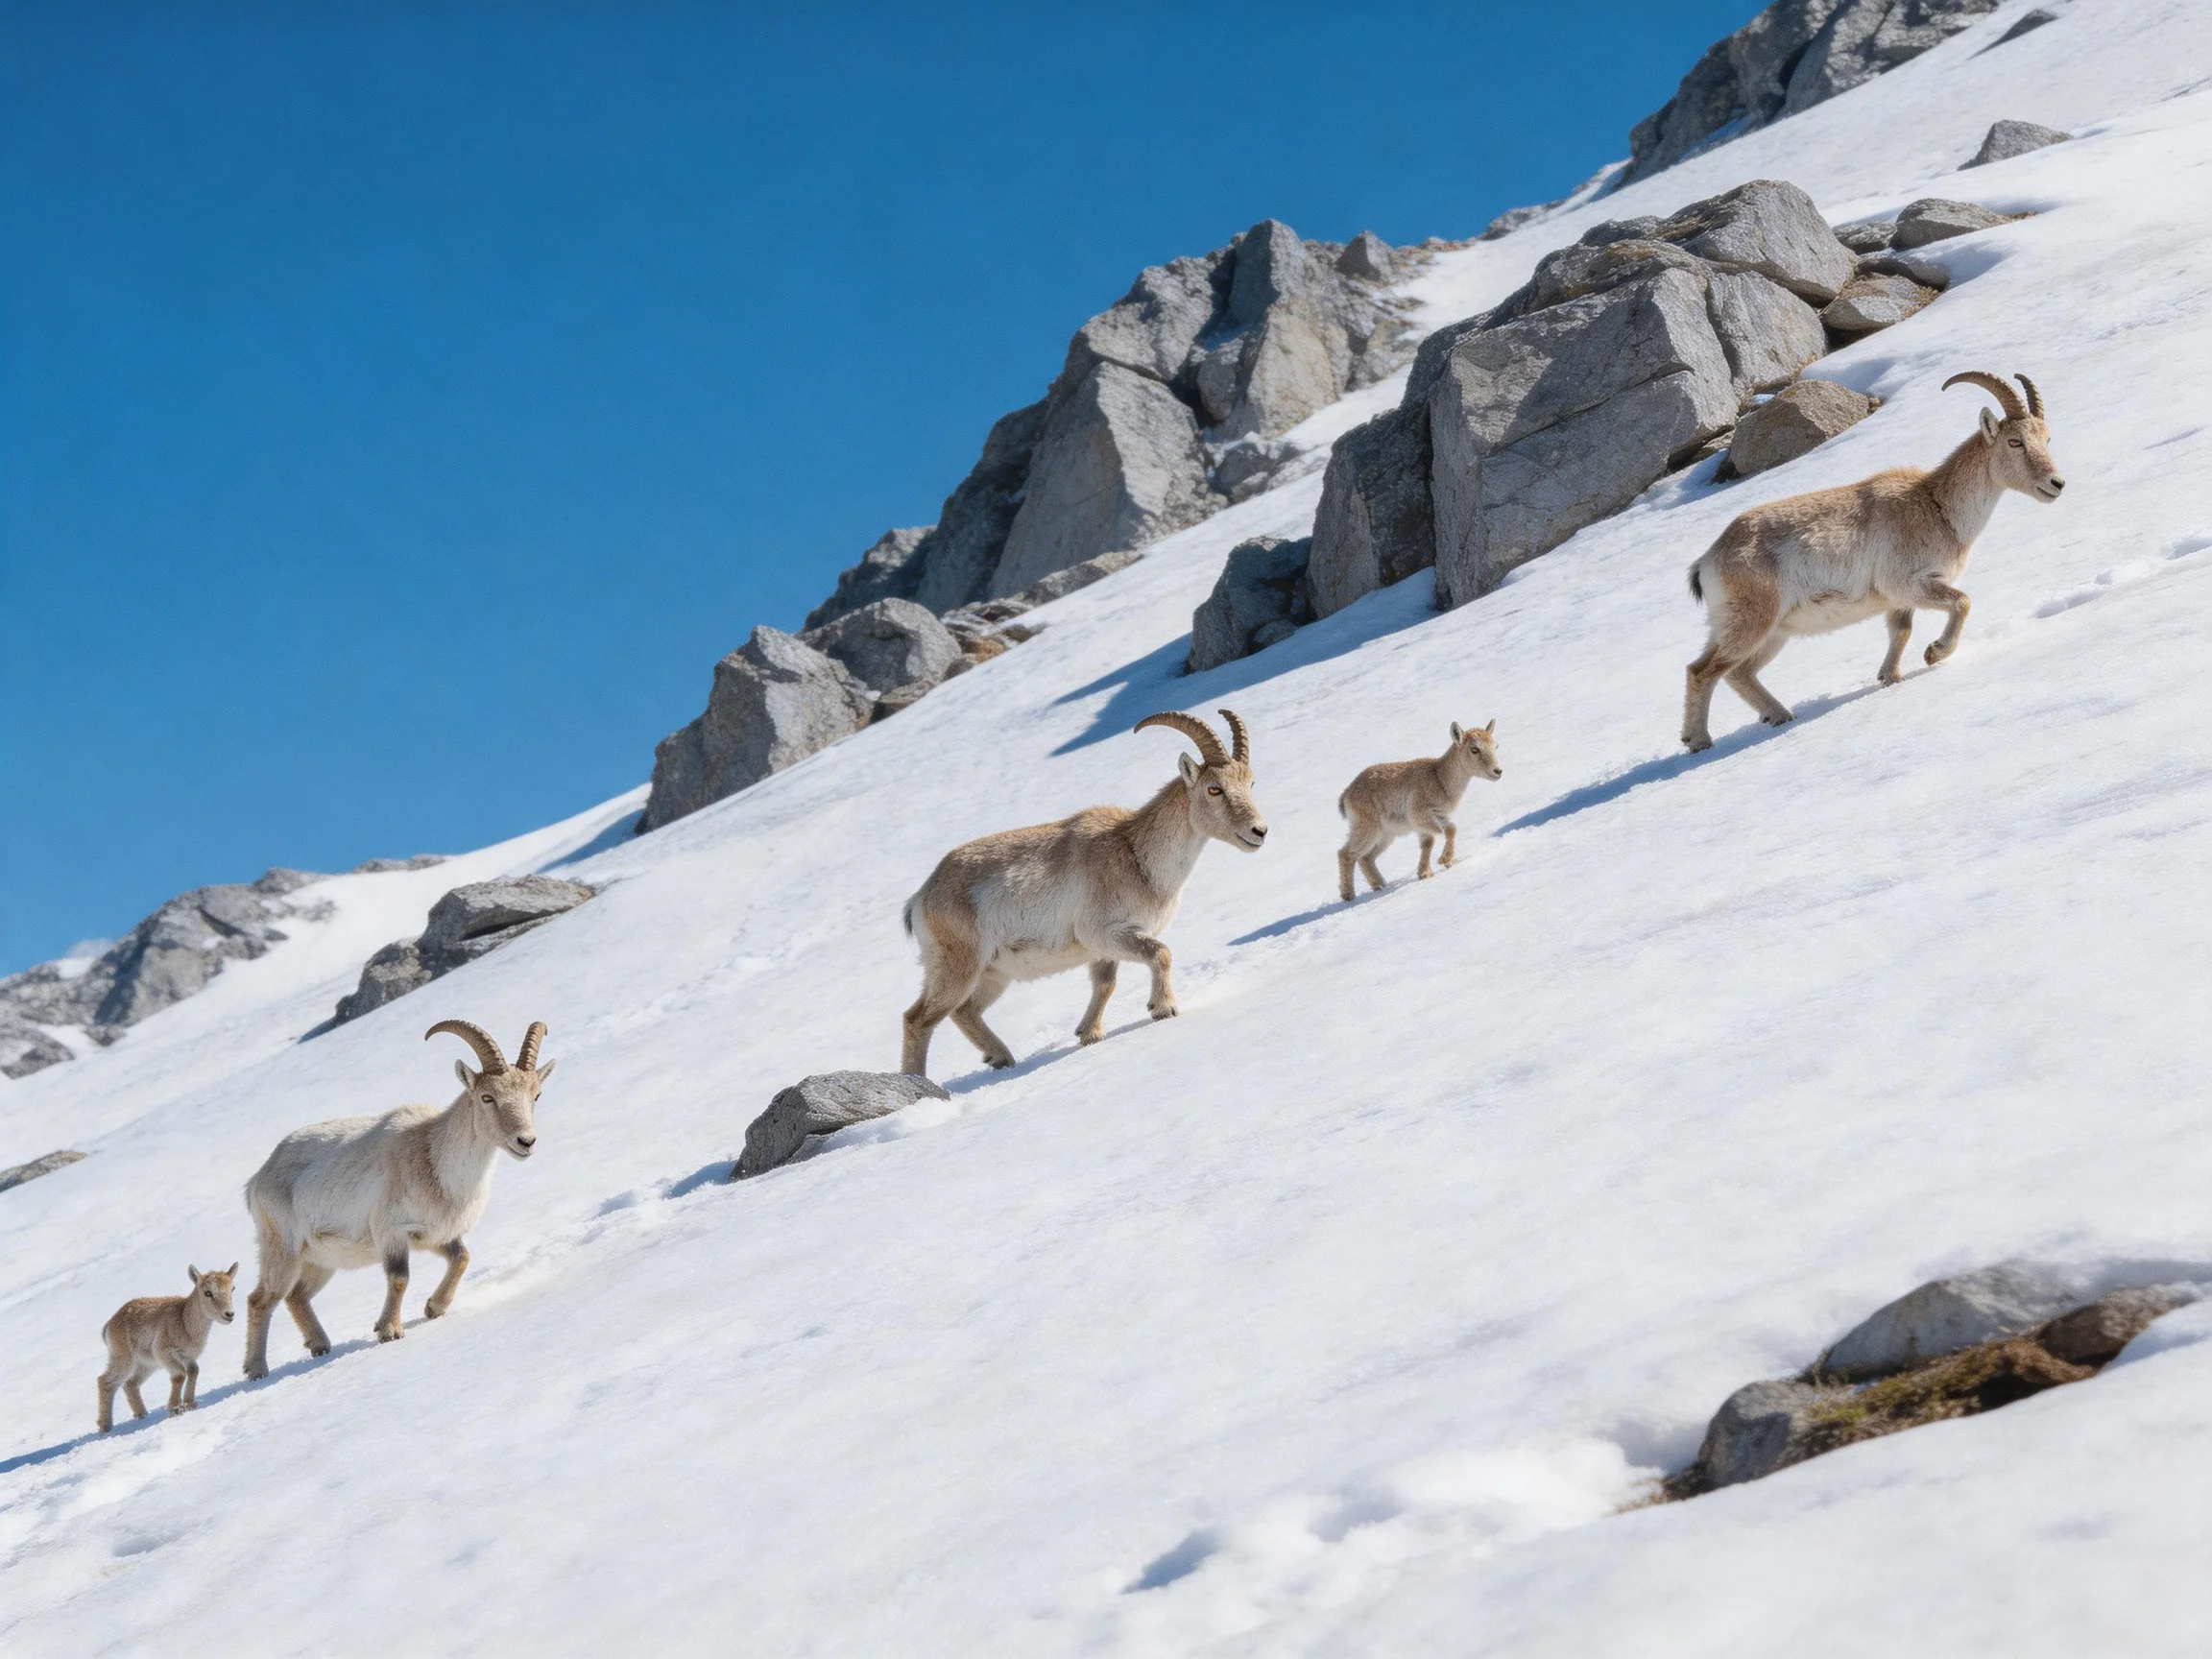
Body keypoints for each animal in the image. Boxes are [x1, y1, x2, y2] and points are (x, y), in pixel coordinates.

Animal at [97, 1263, 236, 1431]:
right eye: (207, 1292)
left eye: (232, 1288)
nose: (229, 1314)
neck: (184, 1322)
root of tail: (109, 1326)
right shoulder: (165, 1354)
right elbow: (180, 1375)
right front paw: (175, 1408)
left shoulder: (187, 1357)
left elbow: (193, 1371)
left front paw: (190, 1403)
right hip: (124, 1360)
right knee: (105, 1381)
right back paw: (105, 1426)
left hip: (146, 1364)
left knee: (131, 1383)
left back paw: (142, 1415)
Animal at [241, 1019, 553, 1378]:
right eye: (487, 1097)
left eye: (536, 1095)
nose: (525, 1141)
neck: (434, 1158)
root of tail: (256, 1182)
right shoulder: (391, 1232)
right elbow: (400, 1277)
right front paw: (389, 1330)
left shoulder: (433, 1235)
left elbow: (462, 1258)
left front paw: (434, 1308)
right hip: (283, 1249)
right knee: (260, 1299)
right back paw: (256, 1370)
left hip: (319, 1260)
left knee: (296, 1296)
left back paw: (319, 1345)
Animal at [900, 709, 1267, 1077]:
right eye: (1214, 788)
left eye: (1250, 783)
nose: (1259, 831)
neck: (1135, 853)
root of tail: (921, 899)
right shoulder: (1106, 931)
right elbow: (1160, 953)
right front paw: (1163, 1008)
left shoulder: (1102, 948)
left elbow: (1105, 983)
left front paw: (1089, 1034)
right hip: (957, 965)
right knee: (918, 1018)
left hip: (993, 974)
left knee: (964, 1011)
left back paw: (1000, 1058)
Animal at [1337, 720, 1502, 901]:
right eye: (1474, 749)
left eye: (1495, 745)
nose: (1497, 771)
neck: (1439, 779)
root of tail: (1347, 794)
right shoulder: (1419, 815)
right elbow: (1439, 834)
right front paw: (1440, 862)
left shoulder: (1438, 816)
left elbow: (1442, 834)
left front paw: (1431, 869)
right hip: (1368, 828)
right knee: (1346, 854)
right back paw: (1349, 895)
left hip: (1386, 834)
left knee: (1366, 857)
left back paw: (1380, 885)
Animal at [1682, 371, 2066, 751]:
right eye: (2014, 442)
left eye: (2047, 438)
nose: (2056, 483)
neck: (1936, 507)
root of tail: (1707, 562)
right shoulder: (1907, 583)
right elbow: (1962, 602)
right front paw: (1935, 653)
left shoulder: (1898, 601)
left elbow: (1901, 632)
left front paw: (1890, 678)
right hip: (1753, 621)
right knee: (1706, 671)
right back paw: (1700, 741)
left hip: (1767, 630)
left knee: (1731, 670)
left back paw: (1778, 716)